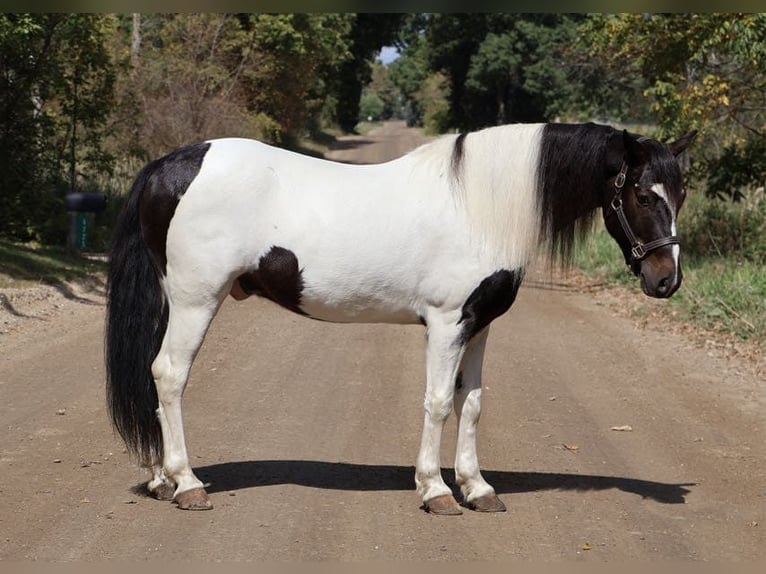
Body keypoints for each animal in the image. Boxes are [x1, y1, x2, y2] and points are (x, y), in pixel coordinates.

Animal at [105, 122, 696, 514]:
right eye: (642, 193)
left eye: (682, 193)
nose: (666, 280)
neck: (480, 207)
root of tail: (169, 165)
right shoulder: (447, 323)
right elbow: (438, 403)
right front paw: (436, 491)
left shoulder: (479, 325)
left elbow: (472, 404)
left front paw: (478, 488)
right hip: (196, 300)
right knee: (170, 375)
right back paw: (187, 485)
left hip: (176, 301)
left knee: (155, 375)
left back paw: (162, 480)